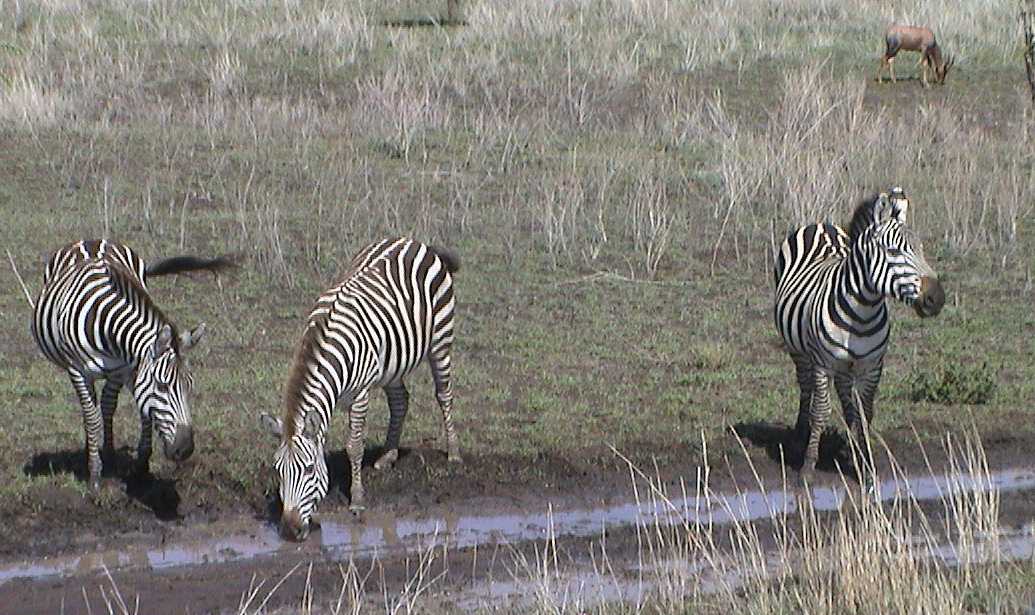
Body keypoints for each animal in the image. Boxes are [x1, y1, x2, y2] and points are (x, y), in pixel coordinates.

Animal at [31, 239, 233, 491]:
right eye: (162, 386)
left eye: (190, 387)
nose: (185, 450)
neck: (106, 323)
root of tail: (91, 240)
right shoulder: (77, 370)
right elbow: (91, 417)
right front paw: (95, 475)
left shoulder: (125, 369)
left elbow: (126, 408)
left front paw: (136, 465)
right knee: (89, 410)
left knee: (104, 406)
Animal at [261, 237, 461, 541]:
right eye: (278, 470)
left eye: (308, 470)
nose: (289, 531)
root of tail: (414, 241)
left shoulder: (360, 395)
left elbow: (354, 446)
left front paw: (356, 499)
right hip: (394, 360)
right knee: (400, 400)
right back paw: (389, 455)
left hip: (441, 340)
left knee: (444, 395)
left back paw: (453, 452)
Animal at [773, 188, 945, 486]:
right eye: (894, 251)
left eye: (922, 249)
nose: (937, 298)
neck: (862, 314)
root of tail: (822, 225)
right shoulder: (823, 363)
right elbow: (820, 412)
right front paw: (808, 467)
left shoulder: (872, 366)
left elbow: (865, 413)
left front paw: (864, 465)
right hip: (800, 351)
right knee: (805, 388)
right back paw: (798, 438)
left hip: (846, 364)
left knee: (846, 398)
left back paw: (849, 445)